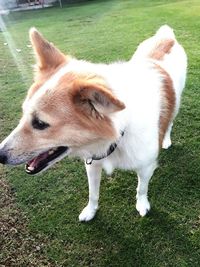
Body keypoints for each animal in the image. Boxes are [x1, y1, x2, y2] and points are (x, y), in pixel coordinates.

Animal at [0, 25, 187, 222]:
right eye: (23, 113)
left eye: (40, 123)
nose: (0, 156)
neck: (118, 134)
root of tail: (165, 37)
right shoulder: (92, 164)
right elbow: (93, 193)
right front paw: (90, 211)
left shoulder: (146, 167)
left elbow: (141, 189)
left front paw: (142, 205)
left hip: (176, 103)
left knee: (170, 122)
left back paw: (166, 140)